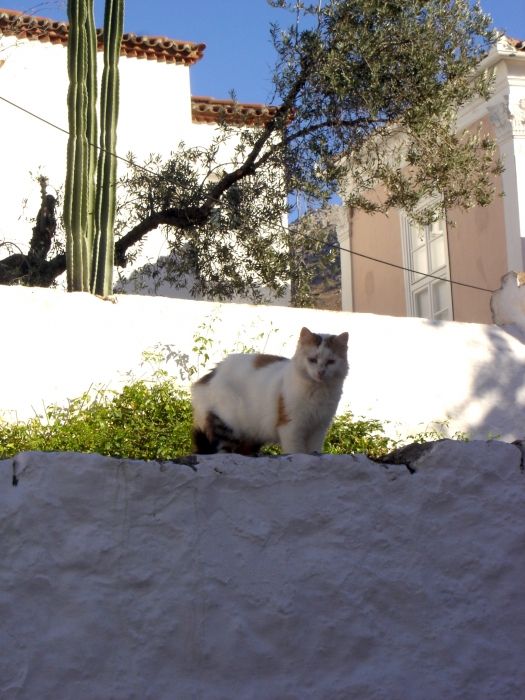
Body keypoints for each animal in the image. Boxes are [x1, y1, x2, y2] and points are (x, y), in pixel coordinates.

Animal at [189, 326, 348, 456]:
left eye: (331, 362)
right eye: (312, 360)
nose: (321, 372)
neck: (318, 392)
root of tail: (210, 375)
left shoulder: (319, 428)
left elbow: (313, 450)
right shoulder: (291, 427)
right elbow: (296, 451)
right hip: (227, 424)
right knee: (221, 451)